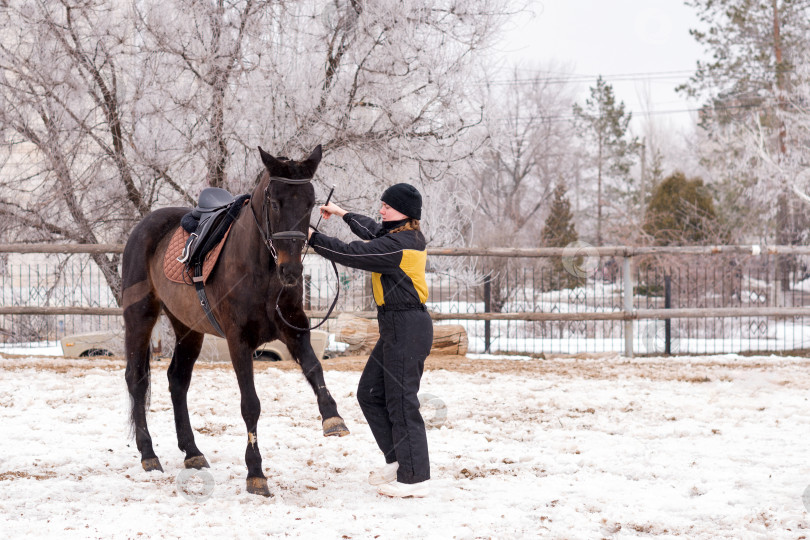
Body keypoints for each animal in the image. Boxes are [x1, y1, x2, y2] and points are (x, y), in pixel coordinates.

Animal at [122, 144, 348, 498]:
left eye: (310, 202)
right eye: (274, 201)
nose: (291, 270)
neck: (263, 271)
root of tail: (144, 226)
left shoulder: (294, 327)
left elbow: (314, 368)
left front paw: (332, 417)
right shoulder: (238, 340)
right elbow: (250, 405)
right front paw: (255, 473)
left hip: (188, 327)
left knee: (177, 380)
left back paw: (192, 452)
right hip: (139, 316)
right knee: (137, 378)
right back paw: (149, 455)